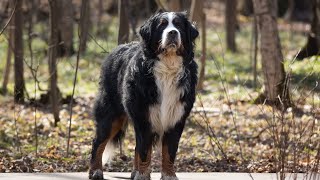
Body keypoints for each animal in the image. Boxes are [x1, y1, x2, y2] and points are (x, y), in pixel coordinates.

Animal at [89, 11, 198, 180]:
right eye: (162, 25)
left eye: (179, 25)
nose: (173, 33)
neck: (168, 66)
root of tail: (115, 50)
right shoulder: (144, 117)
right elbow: (145, 151)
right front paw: (143, 175)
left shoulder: (176, 118)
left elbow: (169, 152)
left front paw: (168, 175)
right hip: (111, 114)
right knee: (98, 141)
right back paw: (95, 171)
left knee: (135, 146)